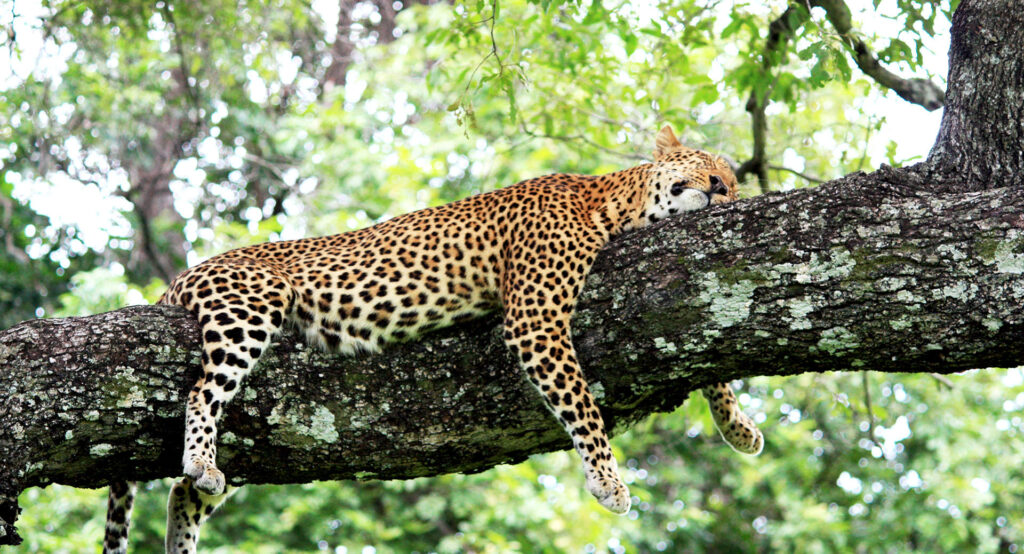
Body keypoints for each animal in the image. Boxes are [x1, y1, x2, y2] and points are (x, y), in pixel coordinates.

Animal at [100, 125, 764, 554]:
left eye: (734, 184)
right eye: (706, 163)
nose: (719, 188)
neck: (613, 204)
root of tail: (180, 276)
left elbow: (709, 352)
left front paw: (738, 427)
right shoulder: (537, 319)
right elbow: (582, 403)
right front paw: (609, 482)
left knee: (181, 492)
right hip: (250, 309)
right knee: (201, 394)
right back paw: (201, 460)